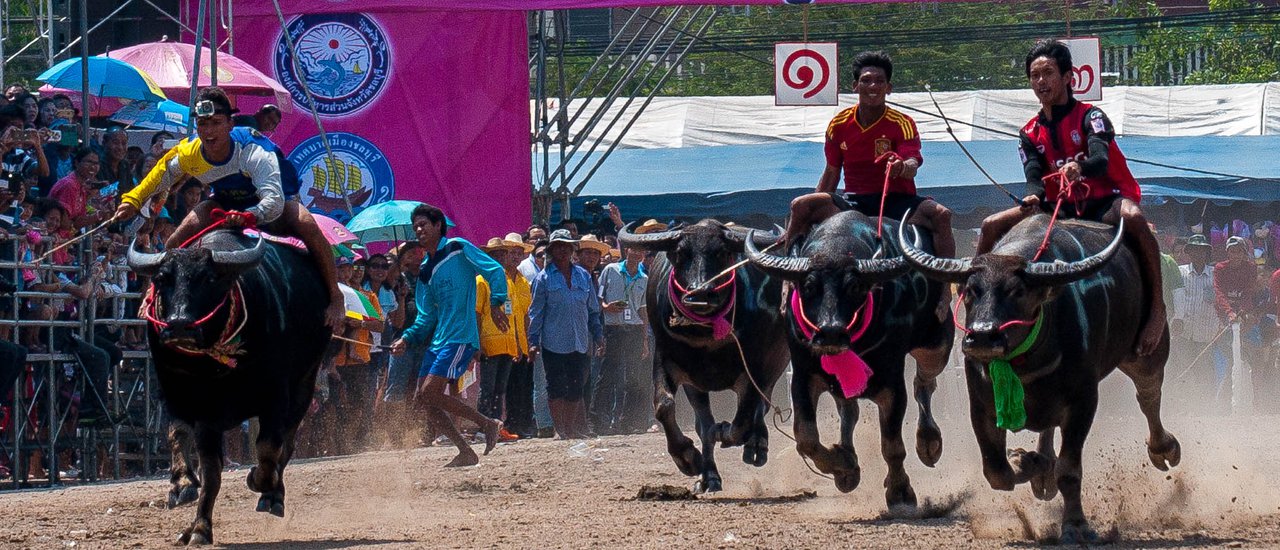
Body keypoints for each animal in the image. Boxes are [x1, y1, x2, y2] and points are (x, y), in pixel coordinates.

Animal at [129, 230, 330, 545]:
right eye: (162, 278)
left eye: (209, 278)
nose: (179, 325)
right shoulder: (187, 401)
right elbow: (197, 457)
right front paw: (192, 511)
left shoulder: (276, 397)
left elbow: (268, 450)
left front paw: (257, 481)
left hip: (305, 385)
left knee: (286, 446)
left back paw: (273, 497)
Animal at [618, 220, 789, 493]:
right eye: (680, 253)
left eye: (721, 253)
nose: (699, 294)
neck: (705, 336)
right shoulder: (666, 360)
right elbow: (665, 406)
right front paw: (688, 458)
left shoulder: (756, 368)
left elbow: (742, 420)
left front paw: (726, 431)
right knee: (704, 424)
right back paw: (709, 476)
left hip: (775, 366)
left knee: (760, 408)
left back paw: (756, 445)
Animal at [745, 211, 952, 507]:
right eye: (809, 286)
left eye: (854, 287)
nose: (831, 332)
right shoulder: (802, 375)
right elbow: (805, 438)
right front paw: (843, 465)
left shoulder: (892, 381)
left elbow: (892, 446)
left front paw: (900, 492)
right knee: (849, 410)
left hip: (937, 345)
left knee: (924, 383)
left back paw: (929, 441)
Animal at [900, 215, 1180, 543]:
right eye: (970, 290)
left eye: (1017, 291)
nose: (982, 336)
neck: (1026, 364)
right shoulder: (981, 405)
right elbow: (998, 472)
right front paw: (1027, 461)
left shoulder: (1083, 401)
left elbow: (1069, 470)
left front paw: (1075, 525)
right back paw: (1042, 469)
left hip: (1147, 352)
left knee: (1149, 394)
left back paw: (1163, 448)